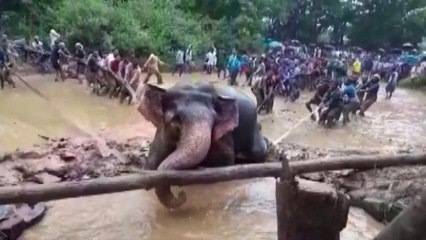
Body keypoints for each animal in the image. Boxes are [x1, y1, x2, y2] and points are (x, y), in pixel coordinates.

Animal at [138, 82, 268, 208]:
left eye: (213, 120)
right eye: (175, 120)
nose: (181, 194)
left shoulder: (223, 135)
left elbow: (224, 162)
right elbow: (151, 163)